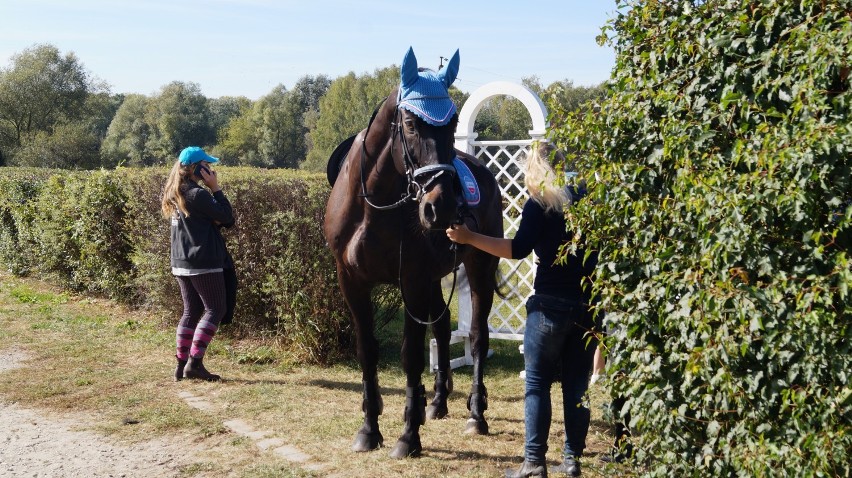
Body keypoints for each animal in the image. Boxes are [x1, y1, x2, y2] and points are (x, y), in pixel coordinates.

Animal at [322, 48, 502, 460]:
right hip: (436, 279)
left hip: (480, 267)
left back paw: (476, 414)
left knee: (477, 337)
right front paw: (370, 429)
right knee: (442, 326)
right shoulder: (352, 281)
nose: (443, 205)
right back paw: (437, 402)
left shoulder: (411, 281)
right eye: (409, 123)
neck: (373, 206)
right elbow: (368, 350)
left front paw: (408, 435)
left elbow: (411, 356)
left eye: (453, 123)